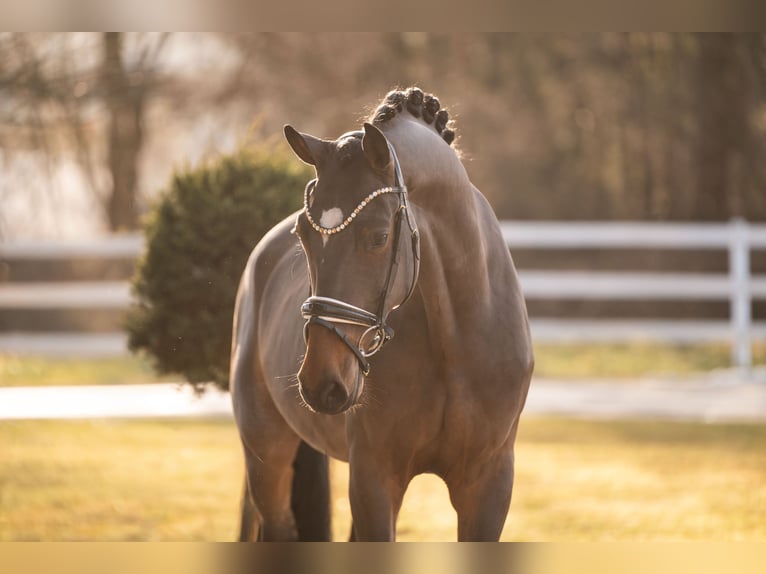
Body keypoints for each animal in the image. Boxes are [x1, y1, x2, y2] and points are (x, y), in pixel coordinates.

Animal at [230, 88, 534, 541]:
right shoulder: (374, 478)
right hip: (266, 455)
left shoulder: (489, 483)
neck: (456, 340)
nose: (320, 382)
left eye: (378, 236)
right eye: (303, 233)